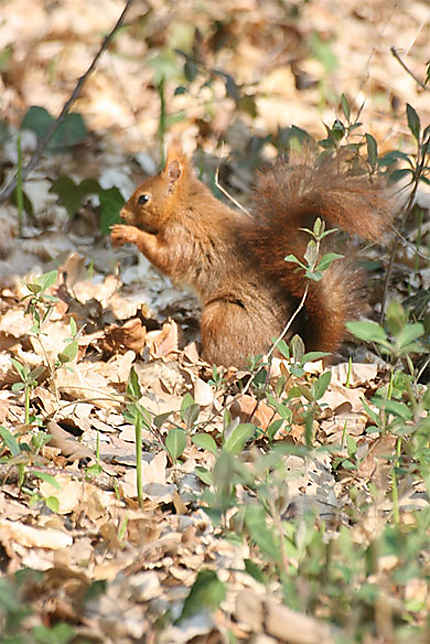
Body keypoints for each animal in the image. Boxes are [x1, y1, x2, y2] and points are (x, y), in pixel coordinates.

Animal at [111, 144, 394, 370]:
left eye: (143, 198)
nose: (122, 214)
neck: (183, 204)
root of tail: (293, 356)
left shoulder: (184, 234)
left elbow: (166, 257)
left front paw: (127, 233)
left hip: (221, 316)